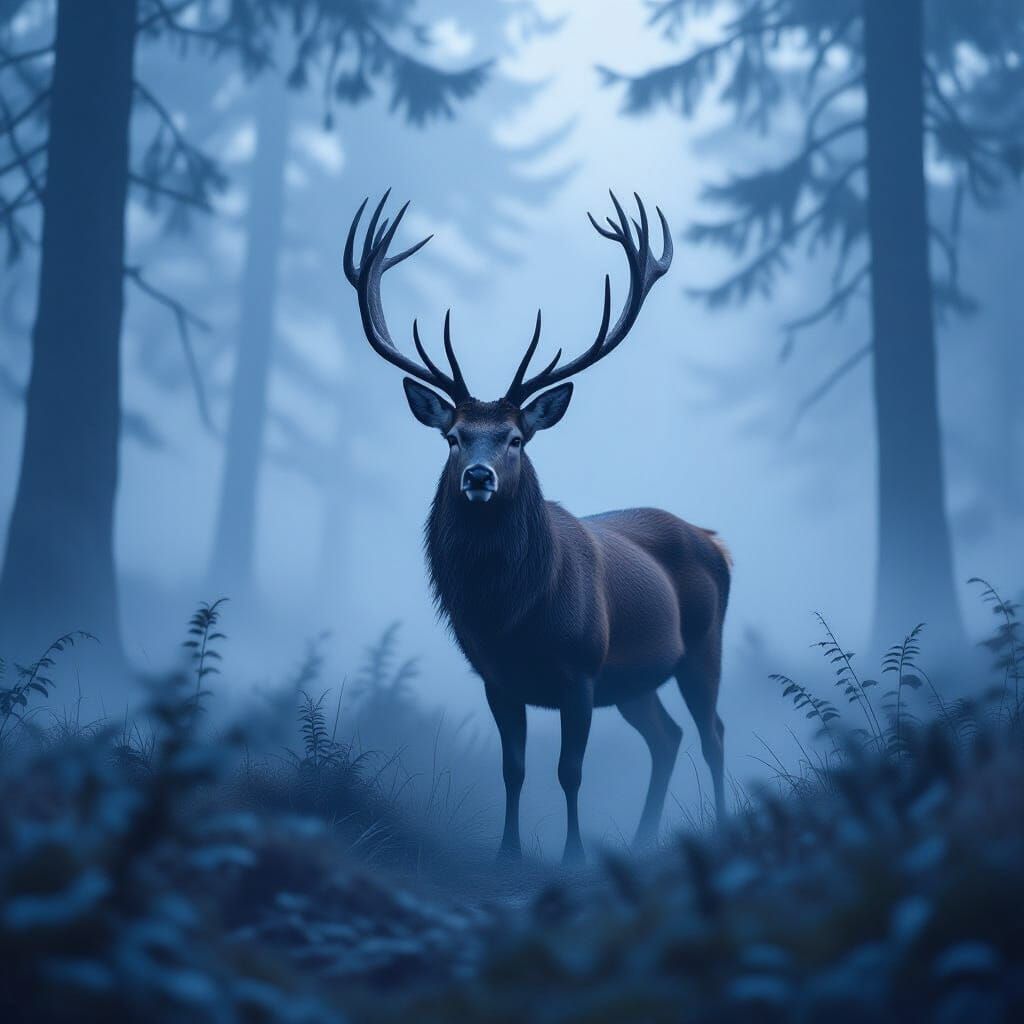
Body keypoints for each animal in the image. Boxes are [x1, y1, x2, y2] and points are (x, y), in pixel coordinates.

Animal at [343, 191, 731, 865]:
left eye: (516, 438)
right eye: (453, 437)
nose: (478, 477)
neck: (513, 617)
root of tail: (714, 540)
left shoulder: (581, 671)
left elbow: (568, 771)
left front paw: (572, 855)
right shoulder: (497, 679)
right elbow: (514, 769)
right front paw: (508, 851)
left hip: (704, 643)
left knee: (712, 733)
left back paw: (722, 826)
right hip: (635, 681)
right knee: (667, 736)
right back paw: (642, 839)